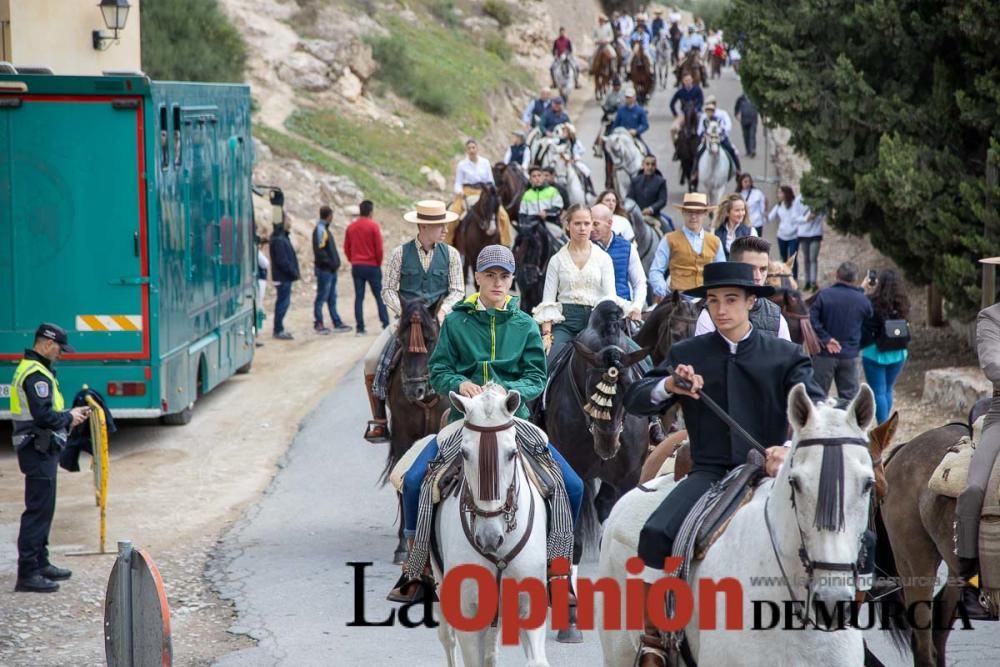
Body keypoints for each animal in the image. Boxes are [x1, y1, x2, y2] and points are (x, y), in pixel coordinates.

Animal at [434, 384, 552, 667]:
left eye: (512, 453)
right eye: (464, 453)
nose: (489, 538)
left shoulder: (528, 604)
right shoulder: (467, 609)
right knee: (447, 639)